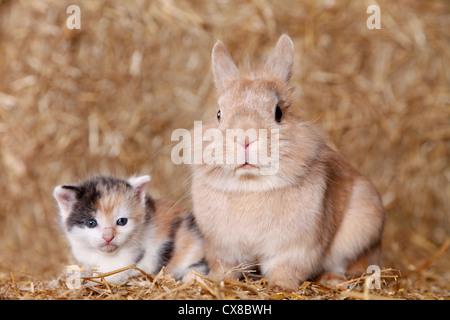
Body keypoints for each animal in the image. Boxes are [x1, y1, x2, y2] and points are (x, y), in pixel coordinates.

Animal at [191, 34, 386, 290]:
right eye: (219, 114)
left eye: (278, 112)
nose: (245, 138)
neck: (250, 185)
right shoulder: (223, 250)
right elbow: (225, 269)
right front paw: (215, 282)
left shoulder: (293, 251)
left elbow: (284, 271)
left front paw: (279, 287)